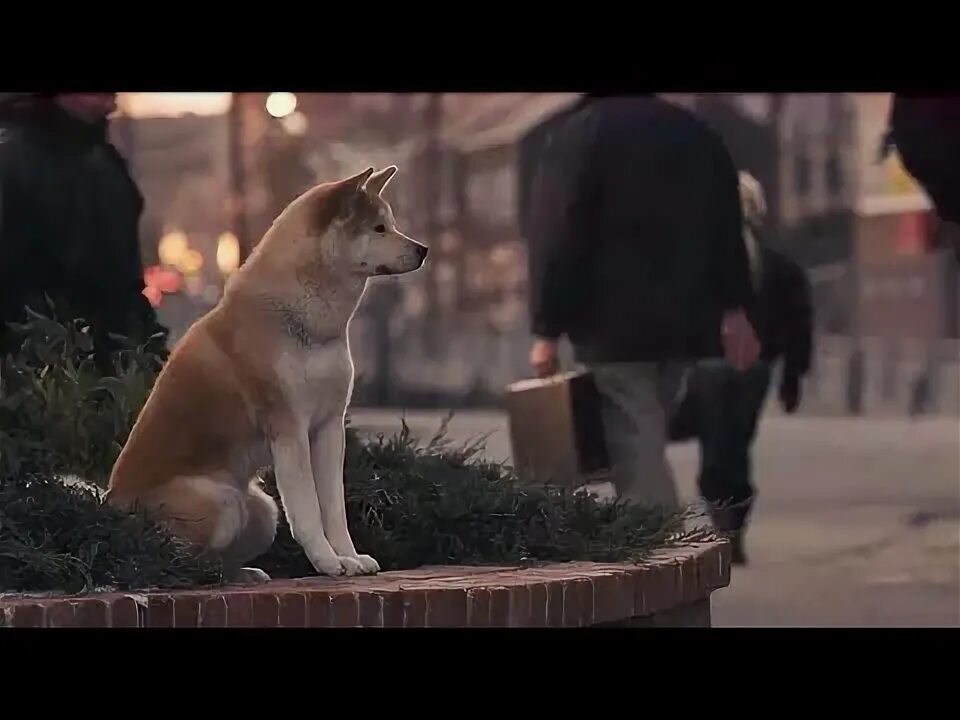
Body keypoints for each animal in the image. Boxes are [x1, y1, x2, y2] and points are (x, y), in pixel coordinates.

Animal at [104, 166, 428, 584]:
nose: (423, 249)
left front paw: (349, 557)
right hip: (221, 501)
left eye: (391, 224)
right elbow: (308, 511)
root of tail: (110, 505)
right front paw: (328, 563)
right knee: (183, 560)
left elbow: (334, 509)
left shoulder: (329, 427)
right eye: (378, 228)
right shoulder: (289, 429)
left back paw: (242, 573)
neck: (304, 318)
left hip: (261, 511)